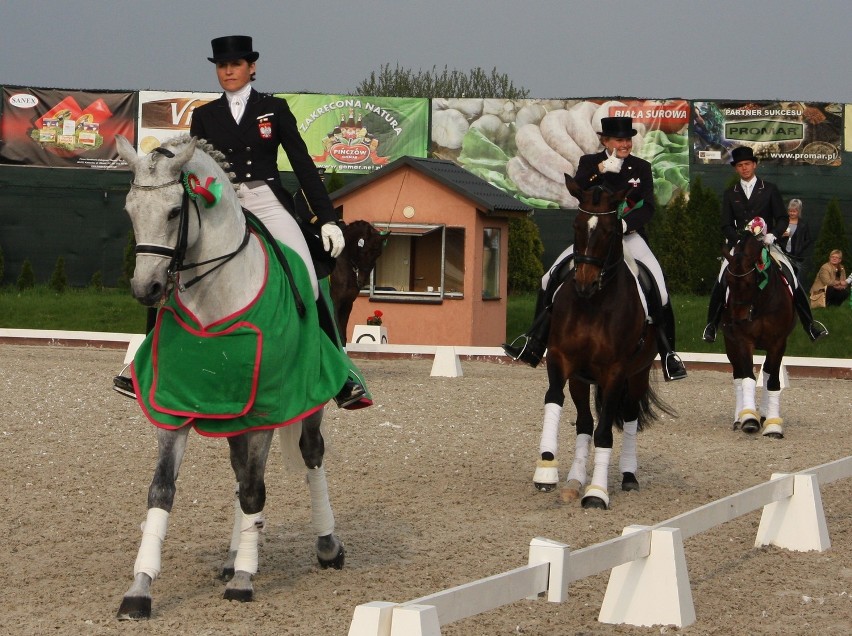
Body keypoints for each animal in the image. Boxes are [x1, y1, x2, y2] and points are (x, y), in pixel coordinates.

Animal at [114, 133, 346, 616]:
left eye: (174, 211)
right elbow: (161, 491)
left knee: (309, 455)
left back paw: (326, 546)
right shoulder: (174, 406)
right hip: (235, 416)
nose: (146, 288)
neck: (214, 299)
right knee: (241, 476)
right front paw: (140, 589)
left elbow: (256, 491)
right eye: (130, 210)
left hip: (306, 401)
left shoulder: (266, 408)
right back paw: (234, 553)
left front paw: (244, 580)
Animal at [532, 175, 672, 512]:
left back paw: (628, 476)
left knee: (629, 418)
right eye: (576, 225)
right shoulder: (560, 359)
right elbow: (554, 400)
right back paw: (574, 480)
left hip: (637, 374)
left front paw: (597, 492)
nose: (584, 283)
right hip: (581, 379)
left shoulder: (614, 372)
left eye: (610, 230)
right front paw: (546, 469)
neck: (593, 304)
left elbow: (606, 431)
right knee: (584, 423)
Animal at [724, 226, 796, 440]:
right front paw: (748, 418)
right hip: (730, 343)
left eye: (749, 282)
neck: (761, 302)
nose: (735, 320)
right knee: (738, 375)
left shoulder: (778, 342)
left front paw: (773, 426)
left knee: (767, 372)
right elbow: (747, 377)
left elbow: (772, 381)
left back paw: (764, 414)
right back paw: (740, 417)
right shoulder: (742, 340)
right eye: (727, 281)